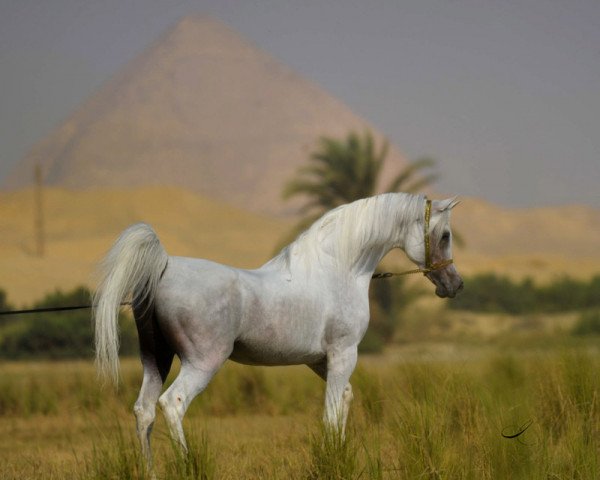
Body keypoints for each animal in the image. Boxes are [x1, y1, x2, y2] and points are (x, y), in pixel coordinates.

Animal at [92, 193, 460, 466]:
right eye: (445, 235)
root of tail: (163, 268)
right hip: (202, 362)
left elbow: (344, 398)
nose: (455, 285)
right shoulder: (343, 354)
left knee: (144, 411)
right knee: (173, 403)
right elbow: (331, 412)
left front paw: (339, 455)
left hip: (156, 359)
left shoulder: (319, 361)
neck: (336, 270)